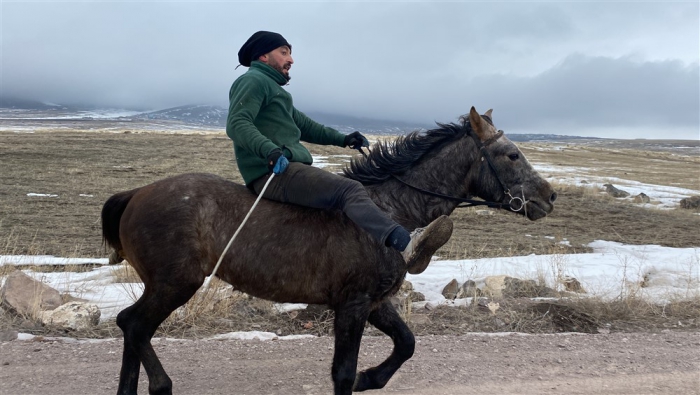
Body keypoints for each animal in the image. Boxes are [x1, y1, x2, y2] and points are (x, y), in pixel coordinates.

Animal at [101, 106, 556, 394]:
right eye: (511, 154)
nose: (549, 196)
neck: (391, 212)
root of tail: (136, 194)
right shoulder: (352, 305)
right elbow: (342, 373)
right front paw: (361, 377)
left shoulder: (374, 302)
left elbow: (406, 344)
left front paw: (371, 379)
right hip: (175, 283)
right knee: (135, 325)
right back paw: (161, 385)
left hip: (164, 285)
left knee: (130, 325)